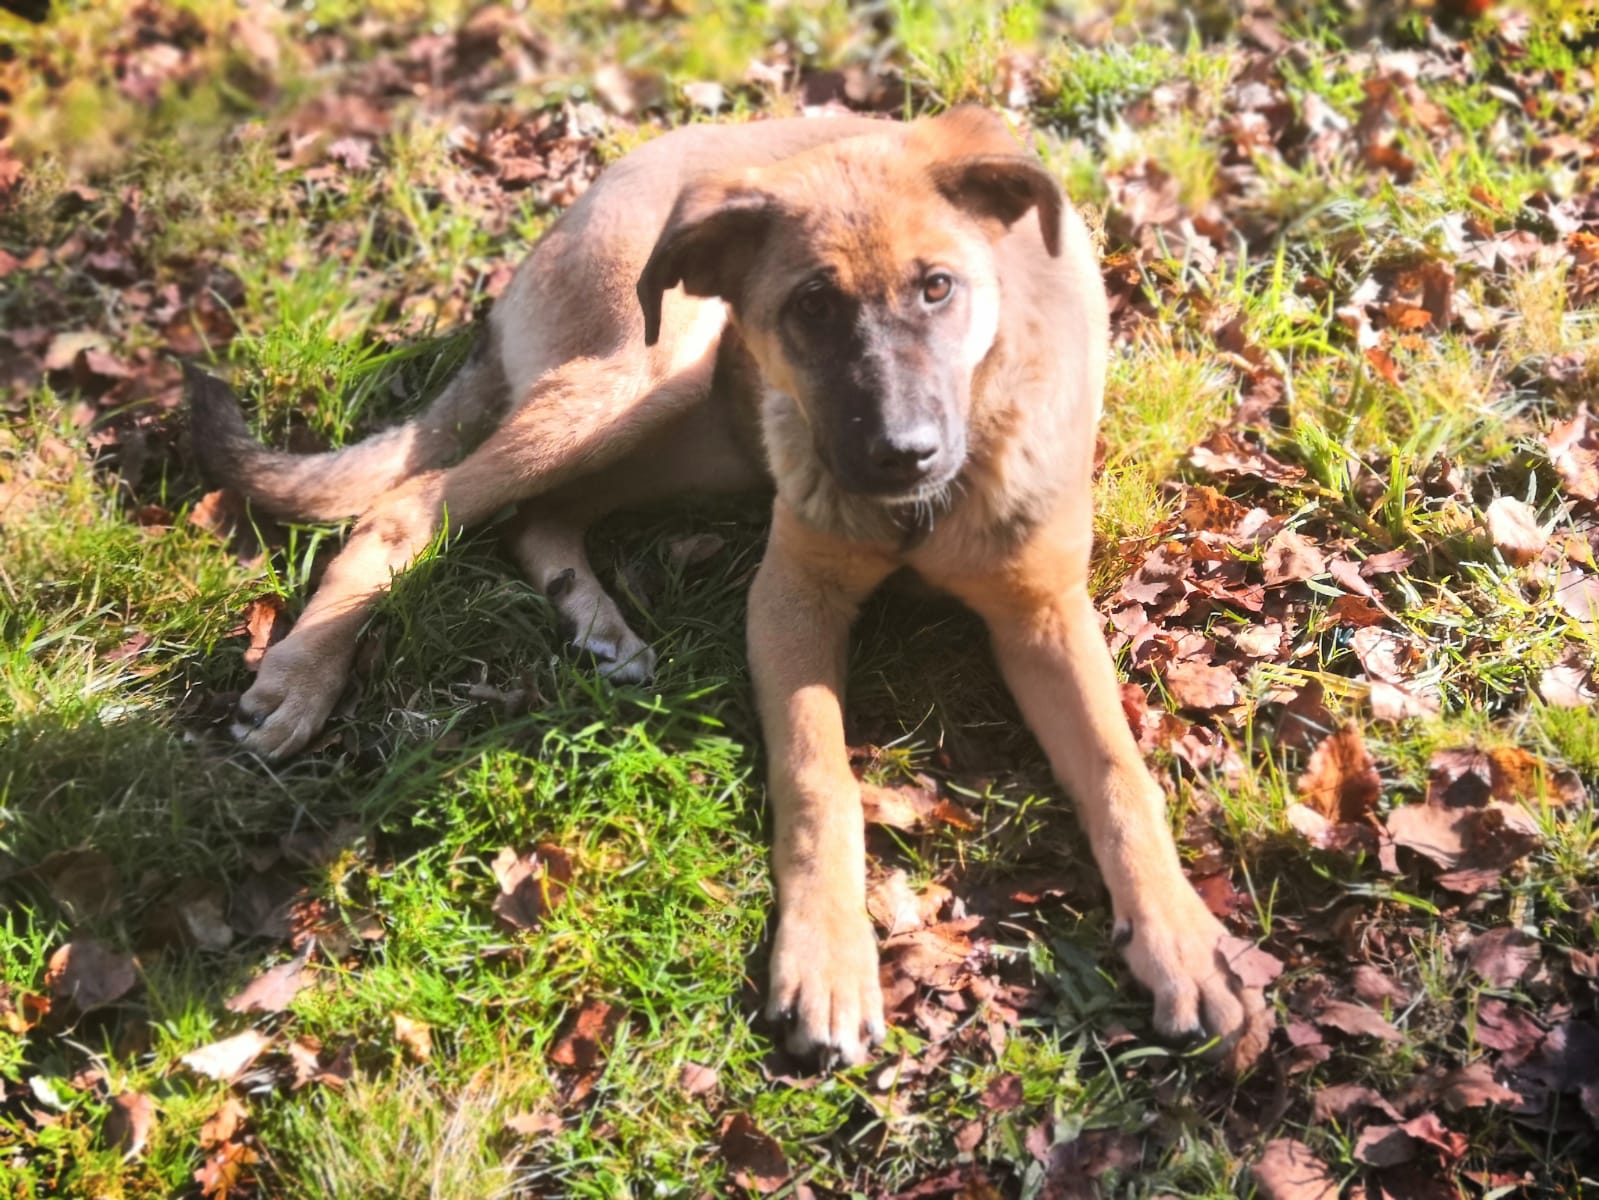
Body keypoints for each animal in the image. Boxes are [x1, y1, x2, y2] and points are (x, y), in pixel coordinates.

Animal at [189, 106, 1270, 1070]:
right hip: (652, 370)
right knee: (413, 504)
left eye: (937, 289)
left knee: (540, 514)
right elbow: (819, 775)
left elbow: (1119, 775)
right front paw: (829, 963)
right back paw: (304, 674)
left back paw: (596, 622)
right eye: (810, 307)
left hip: (699, 430)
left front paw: (1182, 943)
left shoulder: (1044, 611)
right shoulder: (790, 599)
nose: (899, 456)